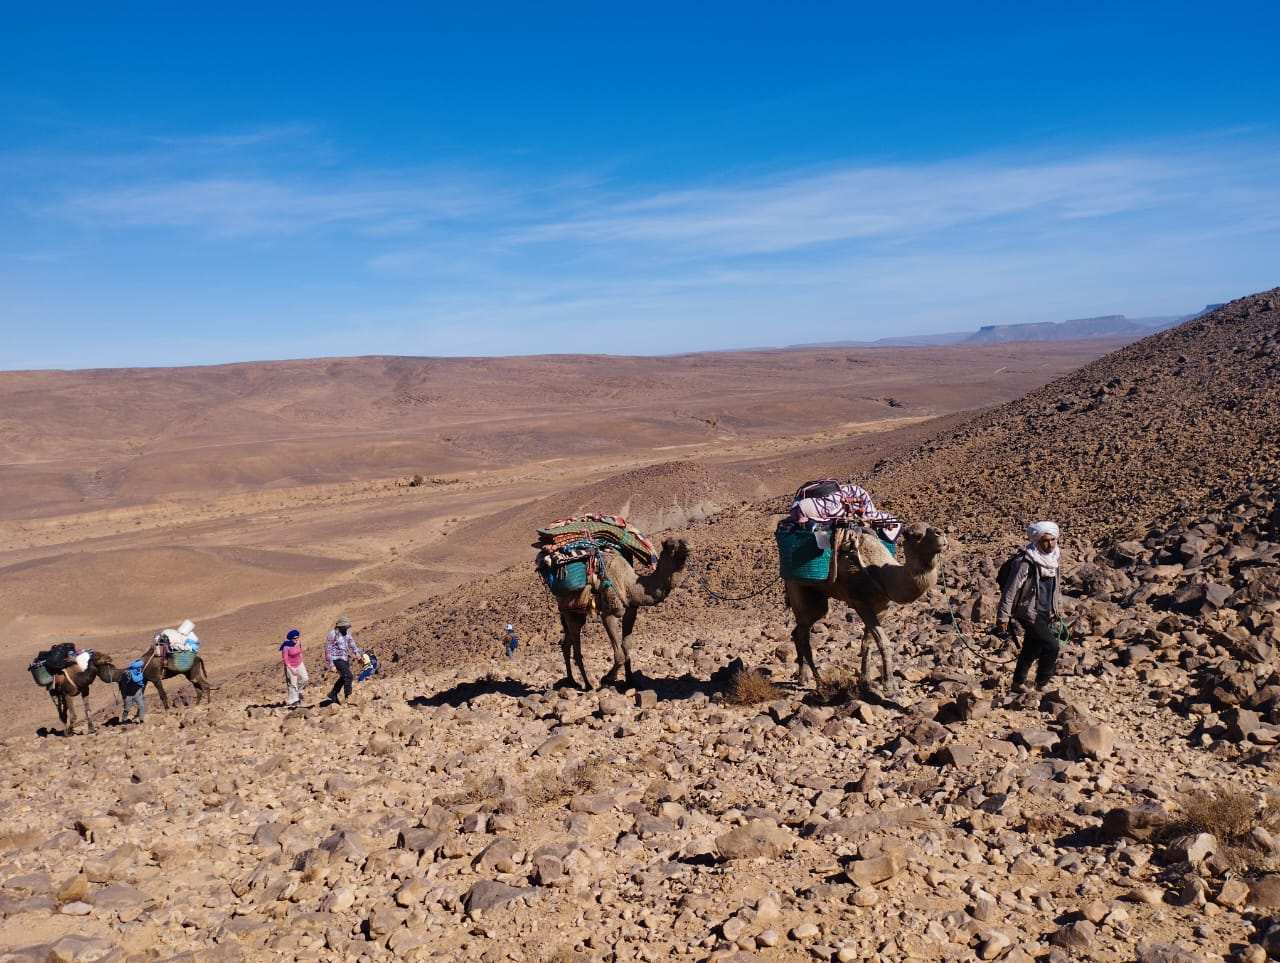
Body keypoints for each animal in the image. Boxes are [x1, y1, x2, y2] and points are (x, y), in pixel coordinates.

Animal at [552, 535, 691, 691]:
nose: (688, 545)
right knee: (576, 651)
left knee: (566, 645)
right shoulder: (608, 613)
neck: (630, 585)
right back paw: (587, 685)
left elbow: (626, 648)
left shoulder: (631, 611)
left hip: (575, 613)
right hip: (569, 612)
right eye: (672, 546)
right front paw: (606, 679)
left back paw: (572, 681)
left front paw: (631, 681)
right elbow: (619, 654)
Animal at [778, 522, 952, 696]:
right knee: (804, 636)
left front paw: (867, 682)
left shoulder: (882, 607)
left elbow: (867, 643)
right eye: (917, 535)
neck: (882, 575)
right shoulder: (860, 602)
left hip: (817, 603)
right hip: (798, 590)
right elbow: (883, 642)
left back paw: (802, 678)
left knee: (797, 631)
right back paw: (820, 683)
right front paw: (890, 688)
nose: (941, 534)